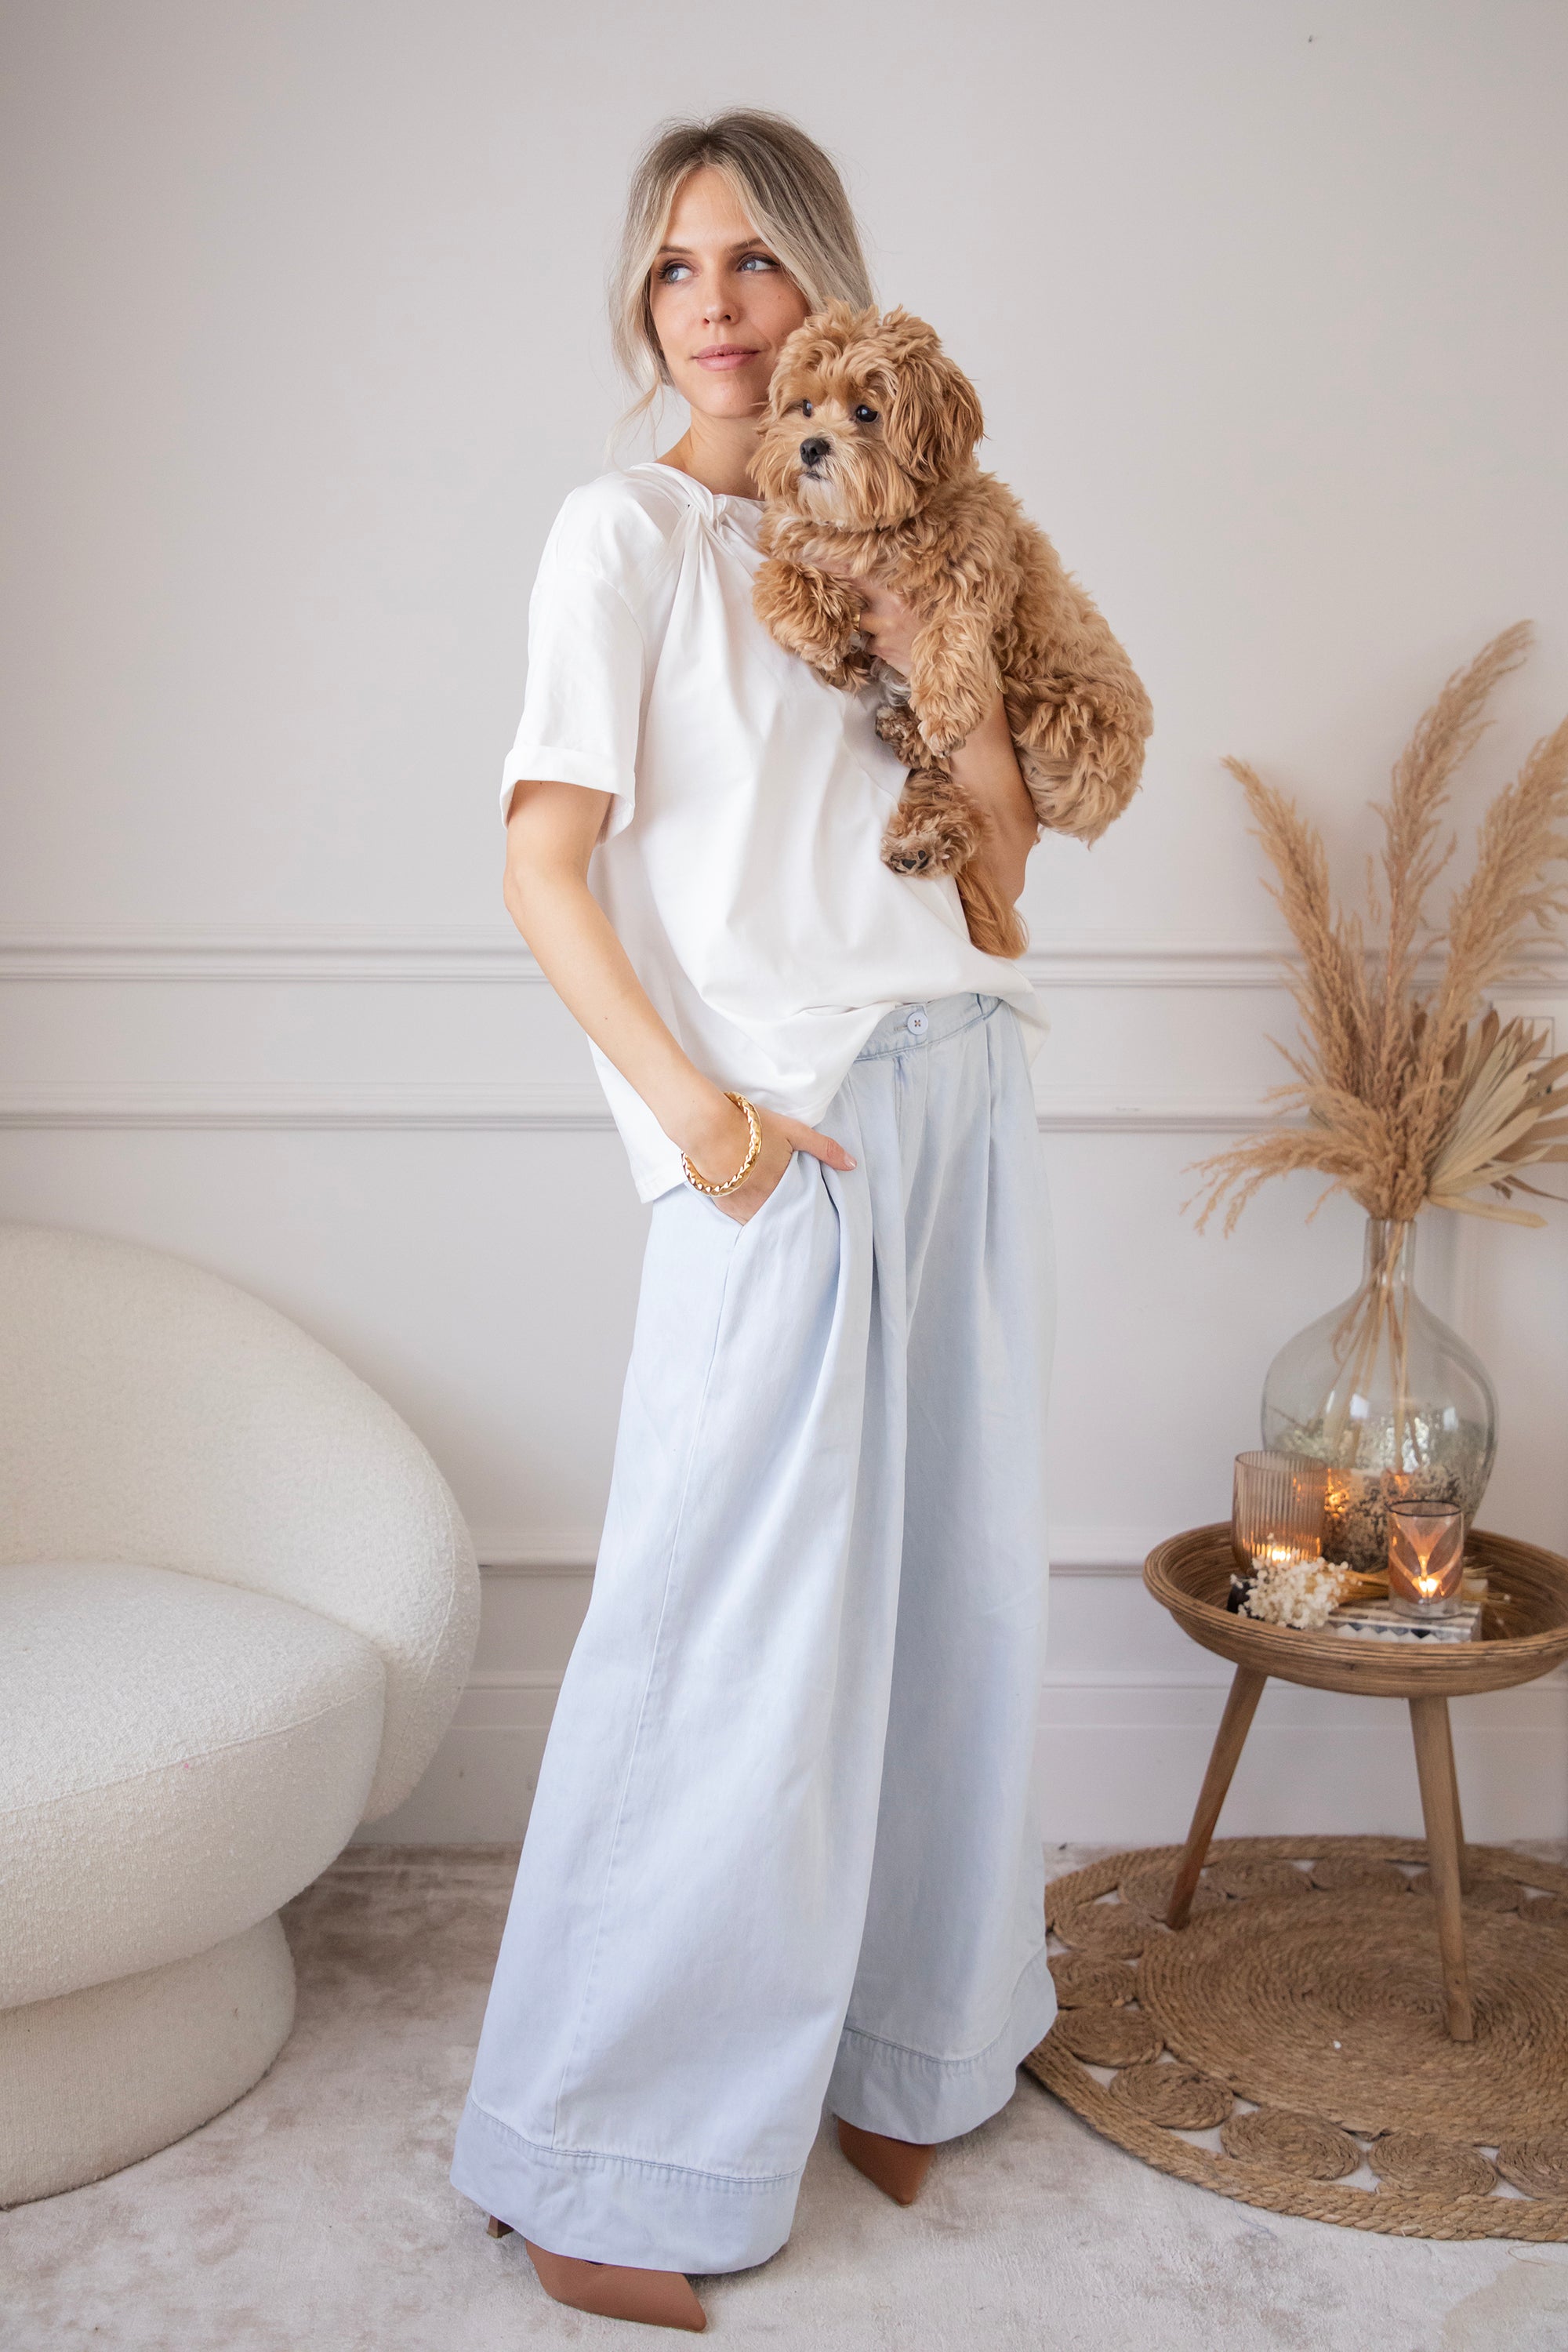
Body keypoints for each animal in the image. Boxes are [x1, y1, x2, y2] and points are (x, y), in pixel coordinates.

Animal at [752, 304, 1152, 958]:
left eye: (867, 412)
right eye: (804, 407)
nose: (811, 446)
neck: (872, 531)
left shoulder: (980, 571)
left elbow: (951, 633)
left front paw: (940, 708)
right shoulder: (803, 550)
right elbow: (780, 581)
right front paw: (824, 636)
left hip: (1068, 723)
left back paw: (919, 735)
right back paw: (917, 824)